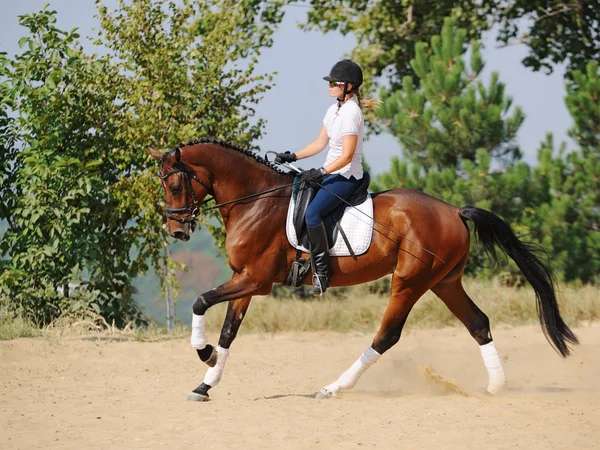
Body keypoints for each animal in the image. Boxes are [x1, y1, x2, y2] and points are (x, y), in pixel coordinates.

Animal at [148, 137, 580, 400]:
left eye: (175, 185)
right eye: (164, 185)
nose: (177, 230)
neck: (254, 202)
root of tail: (454, 211)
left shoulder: (254, 280)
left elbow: (201, 302)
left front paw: (203, 354)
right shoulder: (246, 281)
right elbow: (228, 331)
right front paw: (205, 383)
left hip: (409, 281)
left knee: (386, 336)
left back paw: (334, 388)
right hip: (445, 282)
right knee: (478, 323)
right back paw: (495, 387)